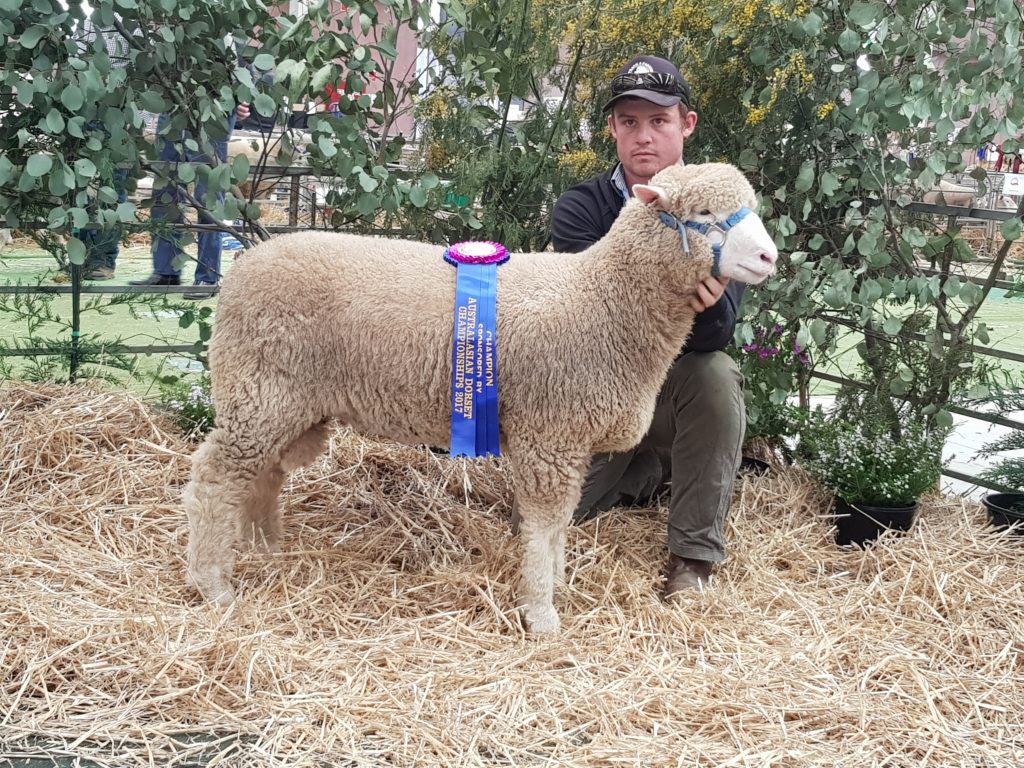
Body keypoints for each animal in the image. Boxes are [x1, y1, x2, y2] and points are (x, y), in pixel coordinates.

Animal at [184, 162, 778, 634]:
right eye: (703, 211)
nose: (769, 256)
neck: (601, 297)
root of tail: (245, 266)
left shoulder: (569, 441)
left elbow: (558, 527)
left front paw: (553, 587)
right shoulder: (549, 437)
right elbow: (543, 528)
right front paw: (540, 612)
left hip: (290, 404)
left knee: (265, 472)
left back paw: (264, 547)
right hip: (259, 391)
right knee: (215, 478)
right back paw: (212, 582)